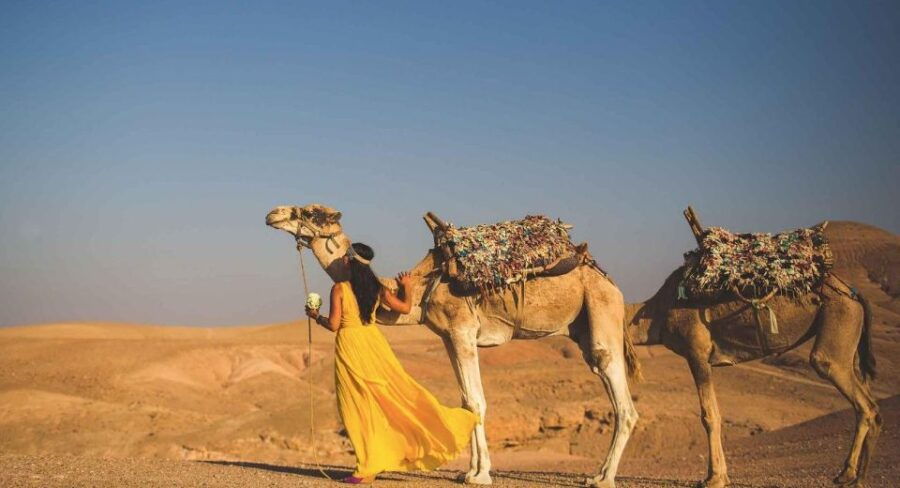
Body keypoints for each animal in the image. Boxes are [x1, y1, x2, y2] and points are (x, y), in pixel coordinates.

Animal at [266, 203, 641, 487]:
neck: (422, 286)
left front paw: (481, 475)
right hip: (583, 325)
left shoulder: (463, 331)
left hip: (601, 310)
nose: (274, 213)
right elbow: (465, 401)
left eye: (312, 212)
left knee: (622, 398)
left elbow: (476, 401)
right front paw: (469, 471)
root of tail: (610, 281)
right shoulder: (448, 337)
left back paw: (602, 479)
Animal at [626, 210, 881, 488]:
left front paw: (714, 478)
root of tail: (854, 294)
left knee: (858, 398)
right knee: (871, 403)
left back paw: (849, 474)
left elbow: (709, 415)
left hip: (839, 318)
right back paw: (859, 474)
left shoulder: (697, 352)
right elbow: (713, 412)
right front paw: (721, 475)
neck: (655, 313)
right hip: (849, 337)